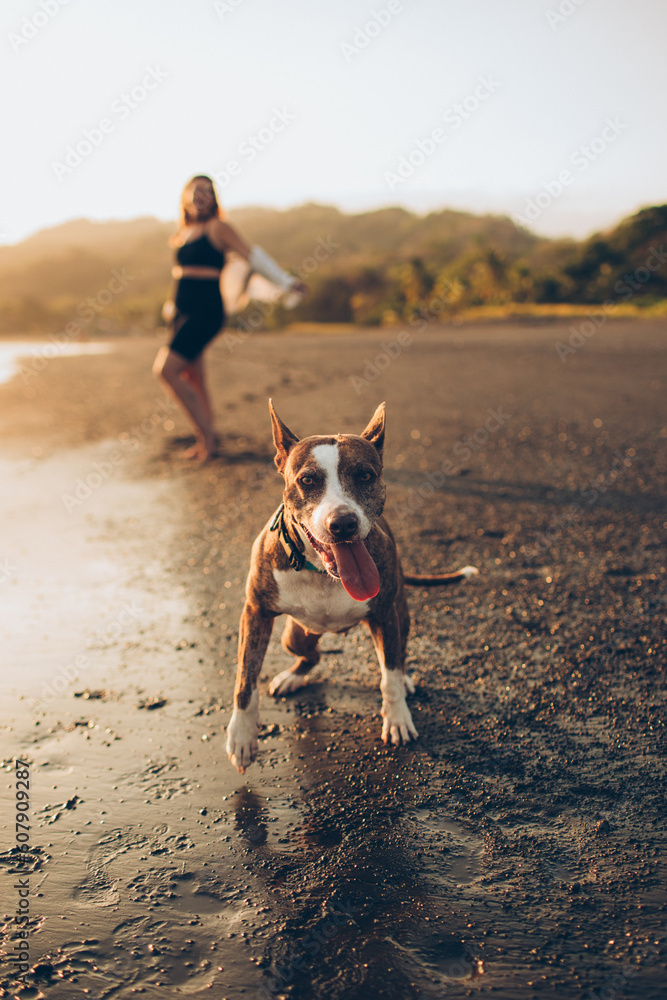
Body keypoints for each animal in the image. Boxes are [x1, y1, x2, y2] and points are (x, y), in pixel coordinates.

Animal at [227, 400, 478, 772]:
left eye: (365, 475)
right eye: (307, 480)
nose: (343, 523)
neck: (323, 573)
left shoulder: (384, 615)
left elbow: (389, 675)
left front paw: (397, 718)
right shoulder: (255, 612)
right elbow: (246, 676)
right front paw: (242, 736)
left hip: (399, 616)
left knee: (397, 653)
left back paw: (403, 678)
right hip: (294, 635)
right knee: (311, 655)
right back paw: (292, 677)